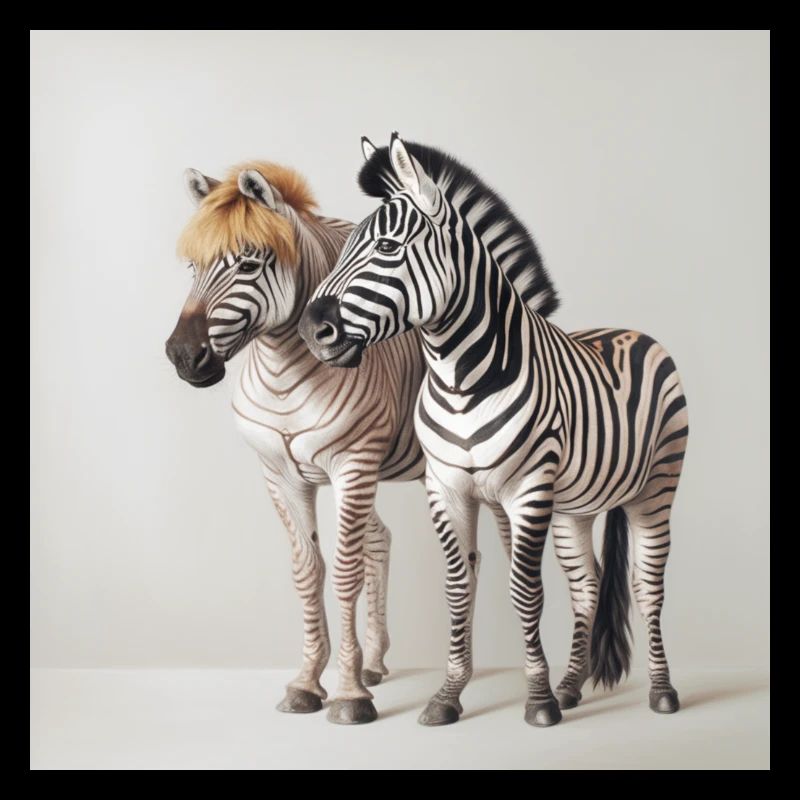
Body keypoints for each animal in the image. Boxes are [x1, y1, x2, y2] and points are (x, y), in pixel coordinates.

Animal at [165, 161, 427, 724]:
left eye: (249, 263)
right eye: (193, 267)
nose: (182, 356)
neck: (285, 374)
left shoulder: (352, 464)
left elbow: (344, 573)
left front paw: (349, 695)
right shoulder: (281, 474)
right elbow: (307, 572)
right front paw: (309, 683)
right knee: (381, 538)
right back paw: (376, 662)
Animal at [300, 134, 688, 727]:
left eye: (387, 248)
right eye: (345, 249)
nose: (311, 329)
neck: (462, 378)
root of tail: (631, 331)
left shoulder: (527, 492)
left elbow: (525, 591)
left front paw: (538, 700)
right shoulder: (446, 487)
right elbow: (460, 587)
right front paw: (448, 695)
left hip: (656, 489)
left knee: (648, 586)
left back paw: (662, 692)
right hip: (576, 506)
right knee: (587, 585)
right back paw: (573, 686)